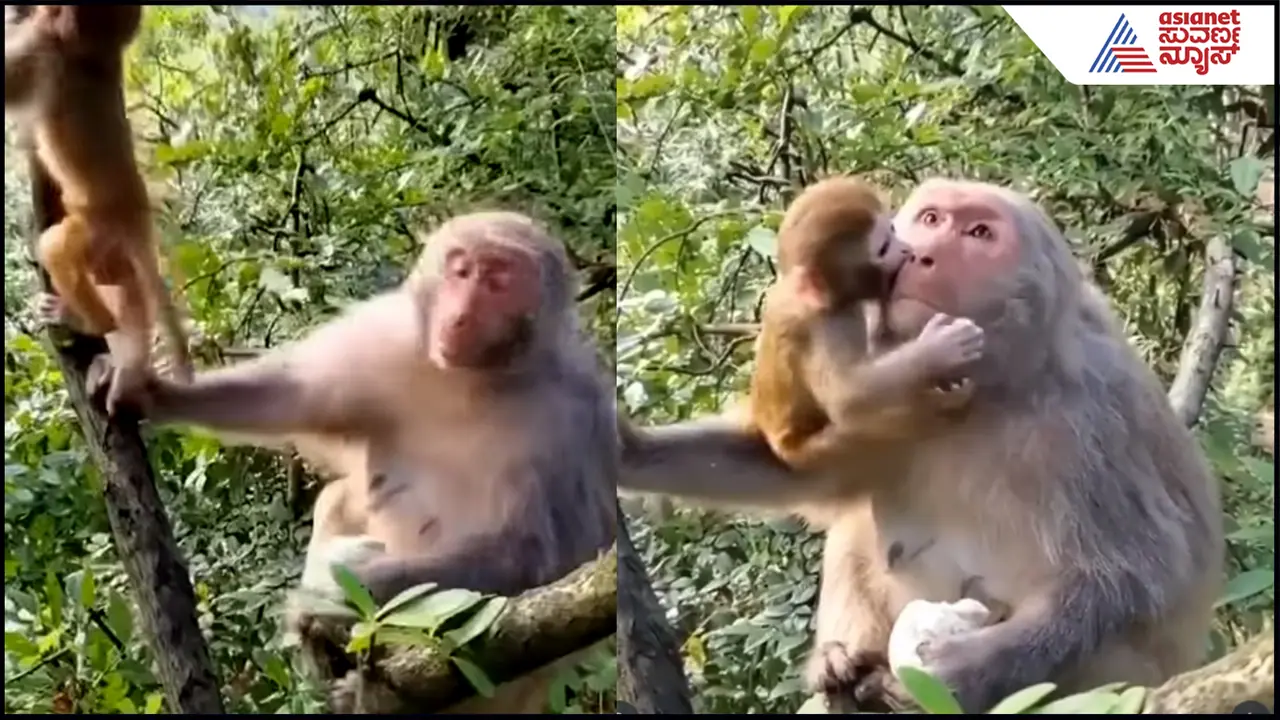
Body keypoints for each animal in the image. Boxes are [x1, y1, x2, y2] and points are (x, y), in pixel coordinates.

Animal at [5, 5, 193, 412]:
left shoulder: (40, 50)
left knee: (56, 247)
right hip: (111, 250)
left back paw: (87, 323)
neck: (92, 52)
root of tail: (136, 213)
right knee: (124, 288)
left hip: (97, 232)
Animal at [92, 211, 618, 713]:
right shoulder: (392, 339)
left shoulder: (571, 417)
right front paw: (150, 390)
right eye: (461, 271)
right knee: (341, 495)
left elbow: (538, 556)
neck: (474, 377)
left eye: (499, 281)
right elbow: (292, 395)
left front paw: (343, 590)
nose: (461, 314)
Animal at [748, 176, 984, 471]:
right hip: (826, 451)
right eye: (883, 249)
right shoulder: (834, 321)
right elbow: (847, 396)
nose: (908, 251)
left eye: (893, 230)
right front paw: (938, 350)